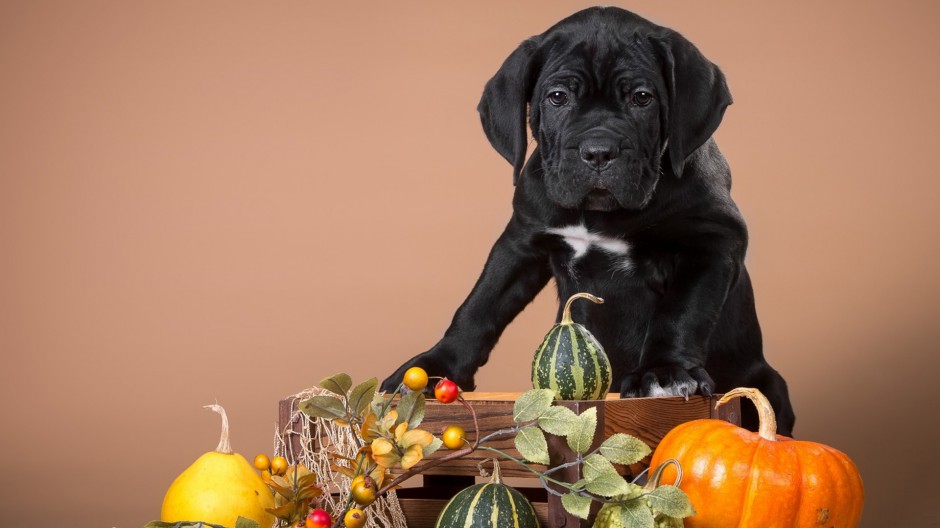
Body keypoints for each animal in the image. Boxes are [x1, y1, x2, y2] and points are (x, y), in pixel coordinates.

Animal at [382, 6, 792, 436]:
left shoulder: (712, 241)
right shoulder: (522, 240)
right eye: (557, 97)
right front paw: (434, 366)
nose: (598, 151)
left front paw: (663, 372)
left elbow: (681, 312)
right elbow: (479, 305)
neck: (602, 216)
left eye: (642, 98)